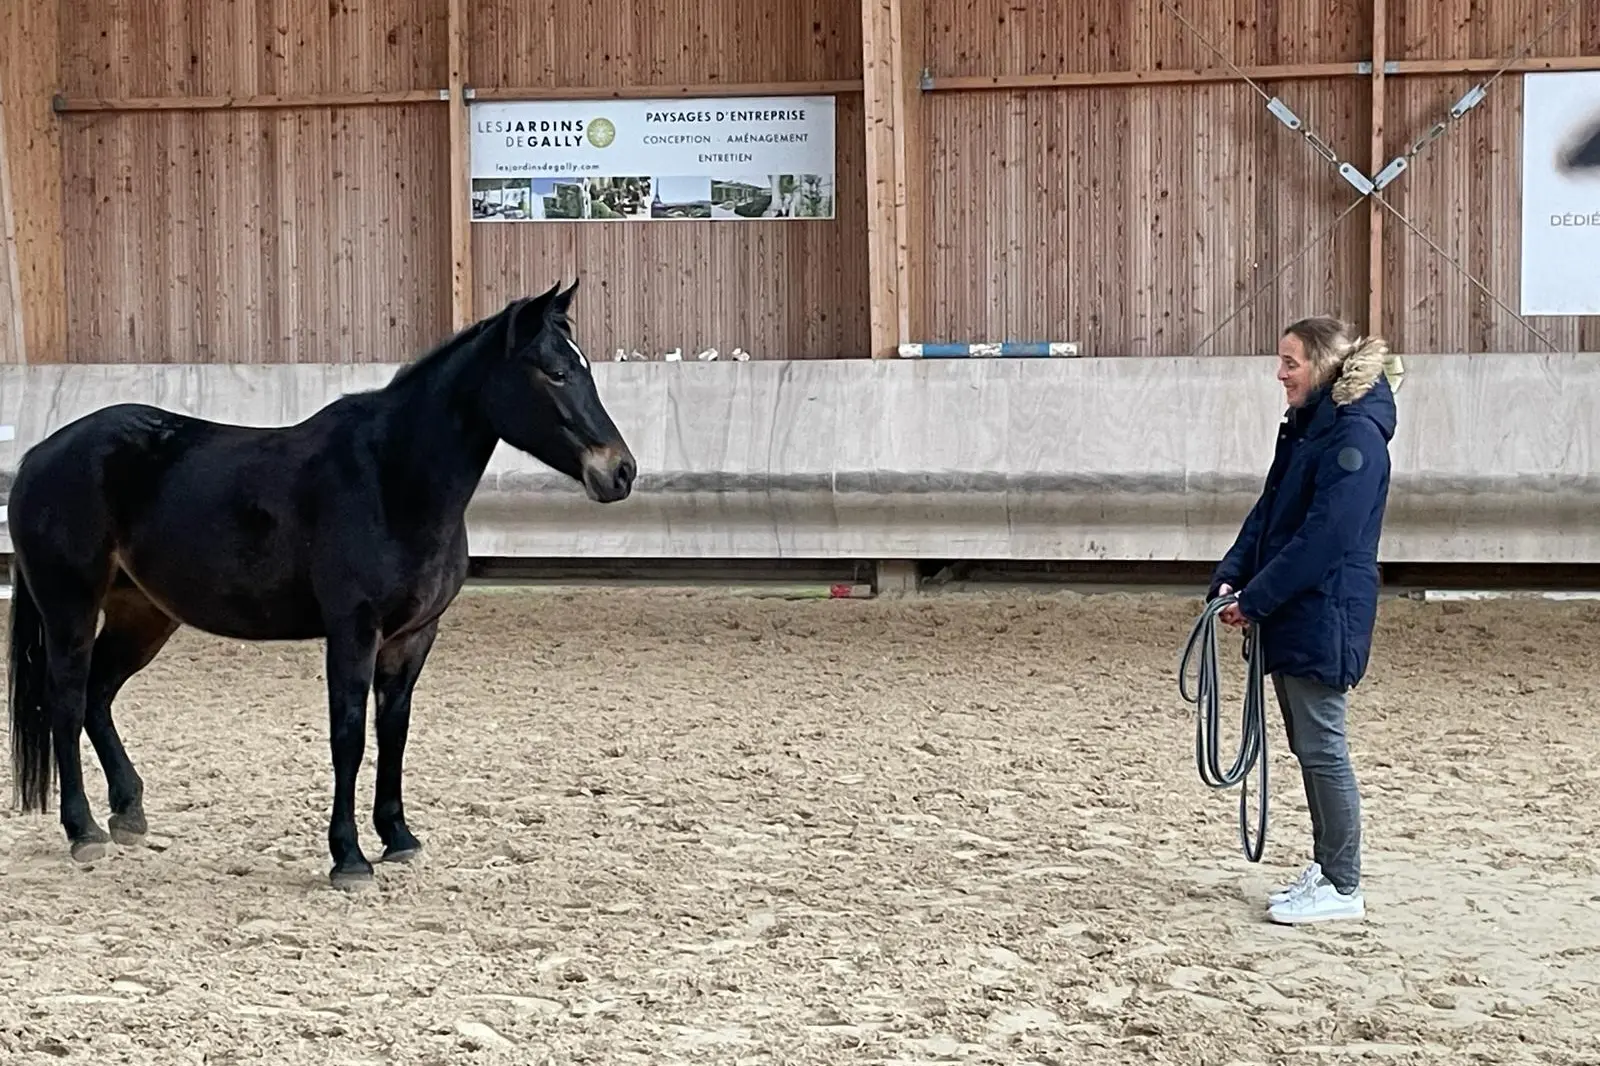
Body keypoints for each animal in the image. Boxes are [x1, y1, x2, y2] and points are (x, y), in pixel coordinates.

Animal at [6, 279, 636, 888]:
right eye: (554, 371)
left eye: (583, 367)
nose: (620, 471)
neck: (390, 479)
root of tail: (39, 454)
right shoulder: (353, 632)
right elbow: (349, 736)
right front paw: (349, 858)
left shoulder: (413, 637)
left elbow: (393, 732)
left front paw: (399, 839)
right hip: (70, 608)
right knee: (66, 701)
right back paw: (84, 830)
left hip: (144, 615)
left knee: (98, 694)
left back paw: (128, 812)